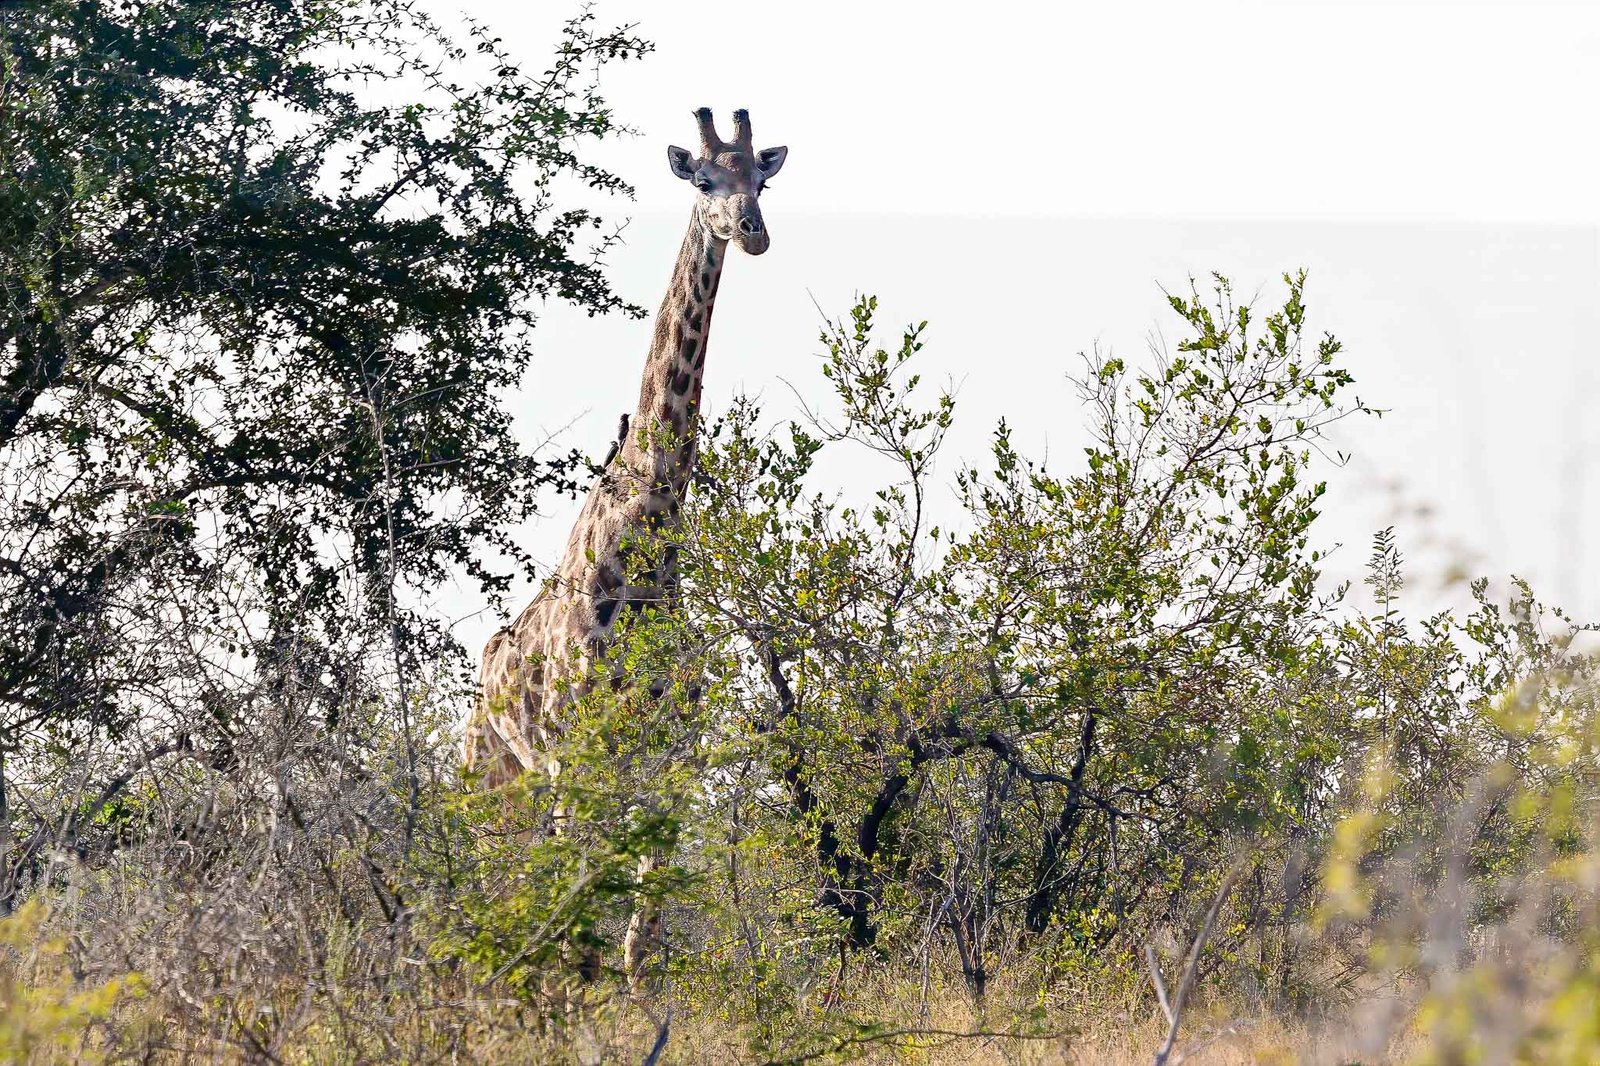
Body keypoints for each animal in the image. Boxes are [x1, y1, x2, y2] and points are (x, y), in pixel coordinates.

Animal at [463, 107, 786, 986]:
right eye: (704, 181)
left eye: (763, 177)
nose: (752, 232)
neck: (644, 539)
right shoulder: (577, 757)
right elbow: (578, 924)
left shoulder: (670, 761)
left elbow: (641, 935)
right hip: (500, 781)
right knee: (498, 887)